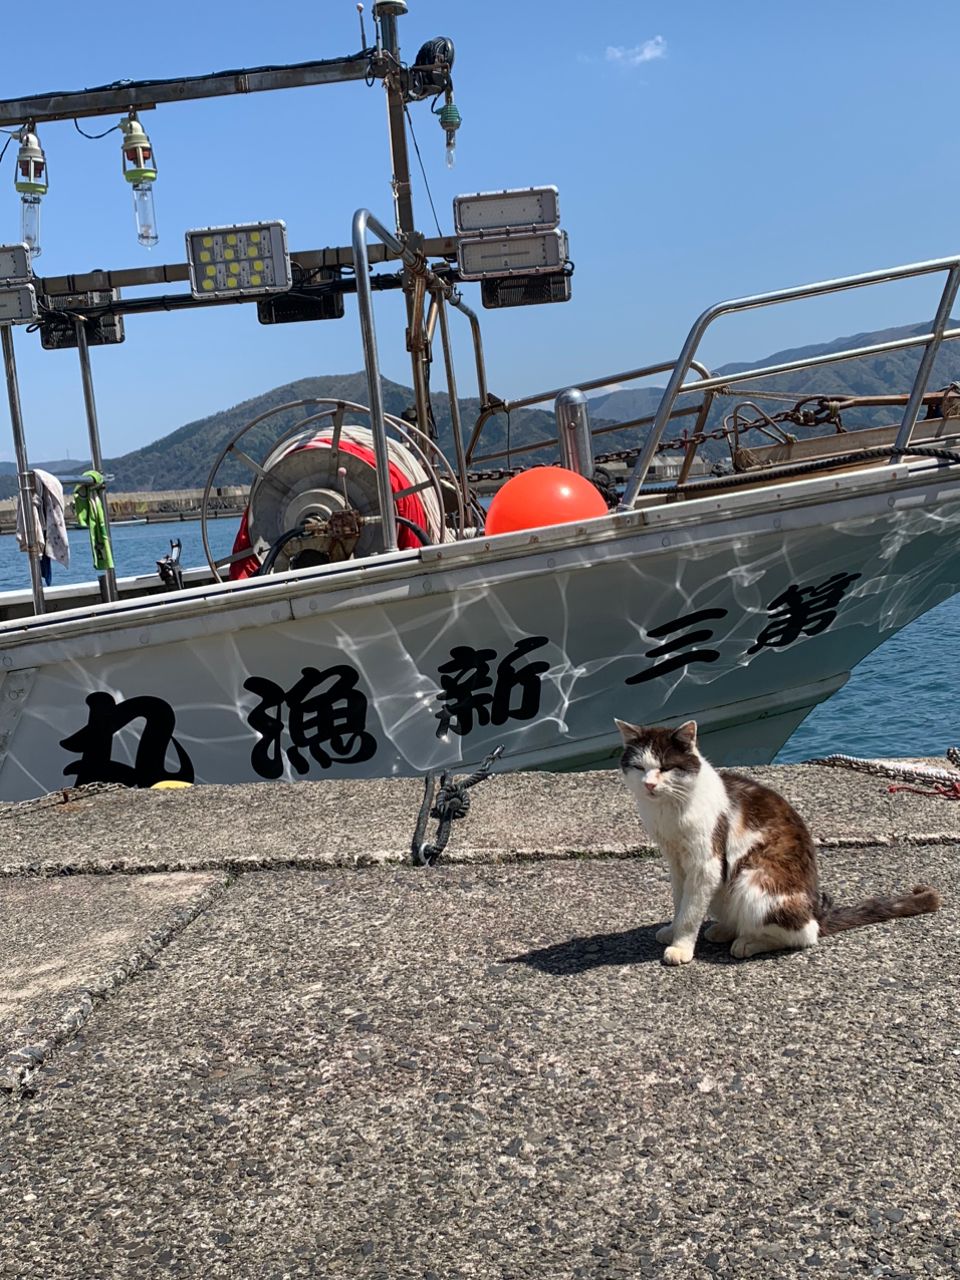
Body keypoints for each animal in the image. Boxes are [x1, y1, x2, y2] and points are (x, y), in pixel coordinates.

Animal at [616, 716, 942, 962]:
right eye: (640, 767)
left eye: (665, 767)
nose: (649, 784)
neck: (668, 809)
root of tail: (816, 912)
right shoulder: (677, 862)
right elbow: (680, 901)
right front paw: (673, 930)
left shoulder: (705, 862)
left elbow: (691, 910)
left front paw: (681, 946)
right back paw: (726, 929)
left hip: (754, 881)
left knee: (803, 935)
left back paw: (748, 942)